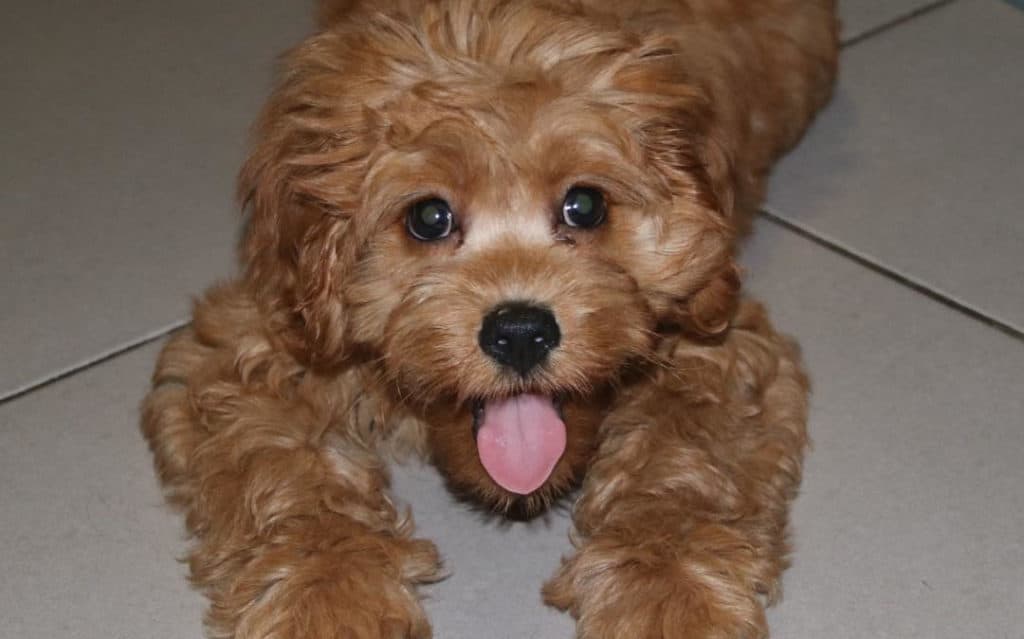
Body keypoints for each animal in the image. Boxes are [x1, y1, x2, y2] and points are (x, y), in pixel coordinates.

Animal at [140, 2, 835, 634]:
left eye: (585, 205)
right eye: (429, 217)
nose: (520, 332)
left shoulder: (721, 342)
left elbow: (683, 460)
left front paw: (668, 594)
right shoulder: (249, 341)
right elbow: (283, 472)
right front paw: (329, 597)